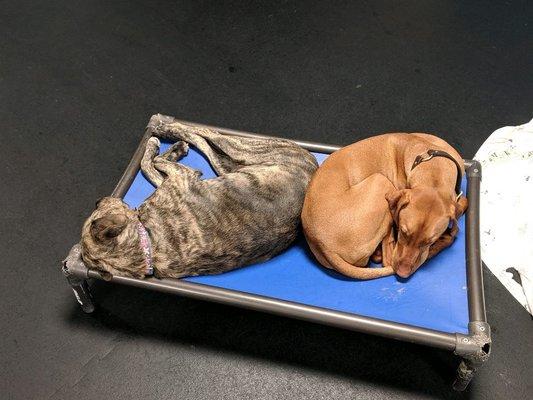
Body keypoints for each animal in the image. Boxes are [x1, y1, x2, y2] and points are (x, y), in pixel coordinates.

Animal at [79, 114, 316, 280]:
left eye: (95, 213)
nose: (98, 200)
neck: (148, 243)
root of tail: (314, 167)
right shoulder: (182, 178)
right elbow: (153, 165)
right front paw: (168, 150)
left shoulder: (181, 178)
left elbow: (150, 164)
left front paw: (163, 149)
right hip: (233, 162)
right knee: (206, 139)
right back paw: (171, 135)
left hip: (241, 153)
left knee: (206, 133)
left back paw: (165, 128)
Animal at [302, 133, 468, 280]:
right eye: (403, 231)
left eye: (428, 241)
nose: (402, 273)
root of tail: (324, 246)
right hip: (380, 180)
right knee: (387, 258)